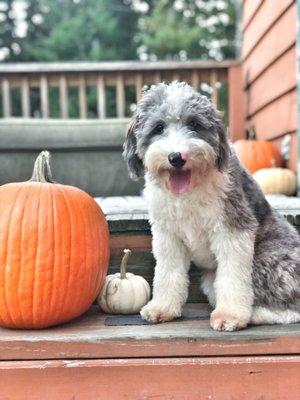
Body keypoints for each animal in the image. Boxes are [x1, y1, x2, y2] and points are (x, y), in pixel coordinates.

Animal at [122, 81, 300, 332]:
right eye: (158, 127)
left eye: (194, 124)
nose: (176, 157)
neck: (189, 190)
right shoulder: (167, 236)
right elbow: (167, 272)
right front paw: (162, 308)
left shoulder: (233, 229)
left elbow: (233, 276)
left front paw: (230, 316)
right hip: (210, 279)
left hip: (268, 261)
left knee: (289, 310)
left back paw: (253, 314)